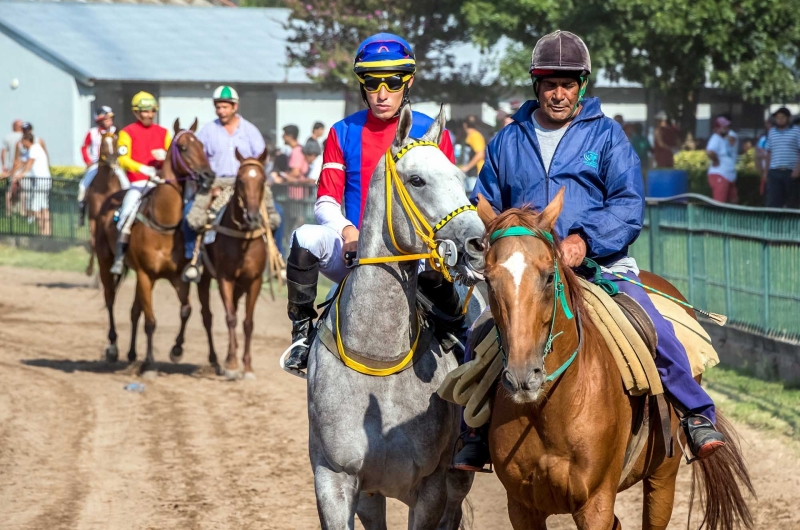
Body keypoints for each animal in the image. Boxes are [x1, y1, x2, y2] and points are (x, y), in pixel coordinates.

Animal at [85, 130, 124, 276]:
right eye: (103, 144)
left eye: (115, 143)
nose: (112, 160)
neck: (106, 187)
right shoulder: (93, 217)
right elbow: (93, 242)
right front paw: (90, 269)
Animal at [95, 117, 214, 374]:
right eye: (184, 148)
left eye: (202, 145)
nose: (209, 175)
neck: (163, 223)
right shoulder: (145, 275)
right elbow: (150, 321)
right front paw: (149, 363)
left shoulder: (178, 277)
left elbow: (185, 310)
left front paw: (177, 349)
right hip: (105, 260)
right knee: (110, 299)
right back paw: (113, 348)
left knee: (134, 311)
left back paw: (131, 353)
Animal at [198, 147, 270, 376]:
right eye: (240, 180)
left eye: (262, 180)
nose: (253, 217)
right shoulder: (225, 278)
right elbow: (230, 318)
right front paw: (231, 362)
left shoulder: (254, 281)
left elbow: (248, 322)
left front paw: (247, 365)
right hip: (204, 279)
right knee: (207, 316)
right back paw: (215, 359)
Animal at [306, 105, 484, 524]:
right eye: (417, 180)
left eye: (458, 176)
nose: (478, 241)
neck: (380, 359)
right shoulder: (334, 479)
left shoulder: (432, 487)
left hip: (455, 482)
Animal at [472, 190, 752, 528]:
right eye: (489, 280)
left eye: (549, 276)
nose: (523, 378)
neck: (549, 409)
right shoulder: (522, 508)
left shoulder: (596, 504)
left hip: (663, 476)